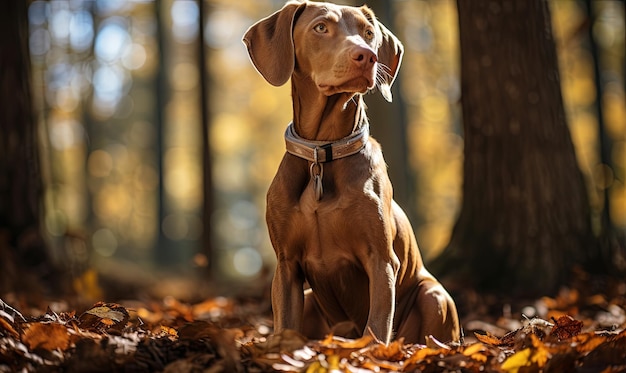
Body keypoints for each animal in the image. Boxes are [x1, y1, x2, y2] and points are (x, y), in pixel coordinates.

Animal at [244, 0, 458, 342]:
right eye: (320, 27)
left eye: (369, 33)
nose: (367, 56)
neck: (323, 151)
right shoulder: (286, 265)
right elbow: (285, 327)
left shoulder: (381, 260)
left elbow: (377, 326)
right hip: (311, 301)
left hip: (433, 296)